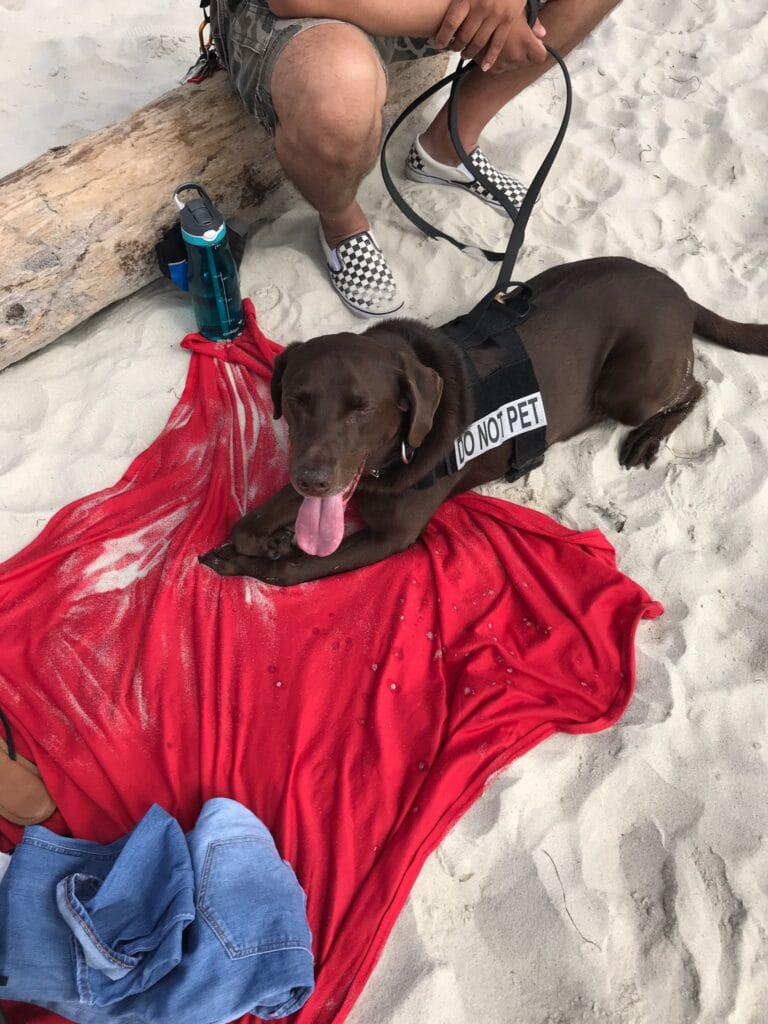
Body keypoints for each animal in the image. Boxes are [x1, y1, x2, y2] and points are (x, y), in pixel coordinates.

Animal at [200, 257, 767, 586]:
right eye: (298, 399)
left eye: (362, 407)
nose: (312, 480)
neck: (393, 459)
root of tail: (680, 291)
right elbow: (247, 524)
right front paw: (266, 538)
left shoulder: (391, 536)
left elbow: (294, 569)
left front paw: (250, 563)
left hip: (630, 388)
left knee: (695, 387)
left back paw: (648, 438)